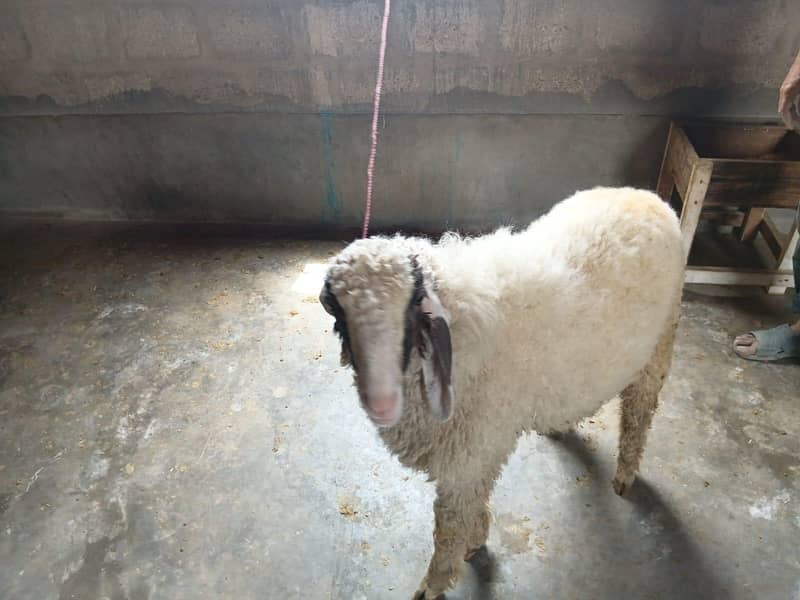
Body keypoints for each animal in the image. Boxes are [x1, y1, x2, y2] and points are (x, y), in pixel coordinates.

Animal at [319, 186, 684, 599]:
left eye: (411, 311)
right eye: (340, 315)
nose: (380, 403)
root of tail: (646, 196)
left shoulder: (468, 455)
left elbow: (448, 528)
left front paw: (436, 582)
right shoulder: (474, 455)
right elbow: (473, 504)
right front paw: (476, 539)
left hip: (660, 341)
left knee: (640, 411)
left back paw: (625, 473)